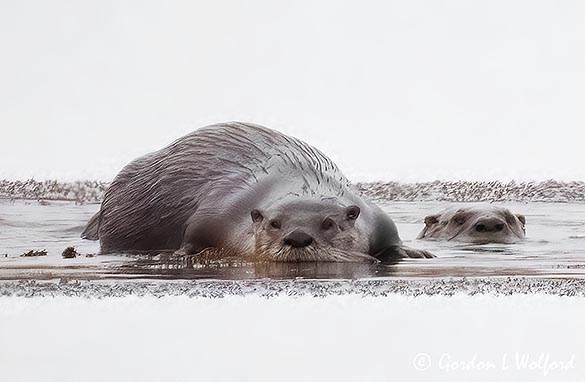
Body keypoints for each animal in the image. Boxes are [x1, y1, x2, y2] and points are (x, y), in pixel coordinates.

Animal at [82, 122, 432, 262]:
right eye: (274, 223)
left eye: (329, 223)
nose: (298, 237)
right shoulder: (220, 210)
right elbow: (191, 236)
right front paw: (178, 253)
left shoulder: (376, 216)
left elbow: (393, 242)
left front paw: (414, 252)